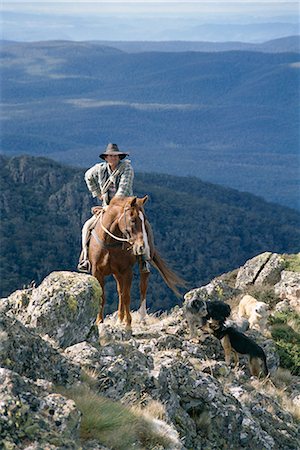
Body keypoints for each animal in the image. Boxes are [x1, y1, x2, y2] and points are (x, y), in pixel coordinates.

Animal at [88, 195, 184, 328]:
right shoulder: (97, 271)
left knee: (142, 286)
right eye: (133, 220)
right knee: (120, 291)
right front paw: (99, 321)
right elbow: (103, 295)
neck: (109, 243)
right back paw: (119, 319)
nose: (141, 247)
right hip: (116, 273)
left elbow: (127, 296)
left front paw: (128, 322)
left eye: (144, 220)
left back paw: (142, 318)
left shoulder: (127, 271)